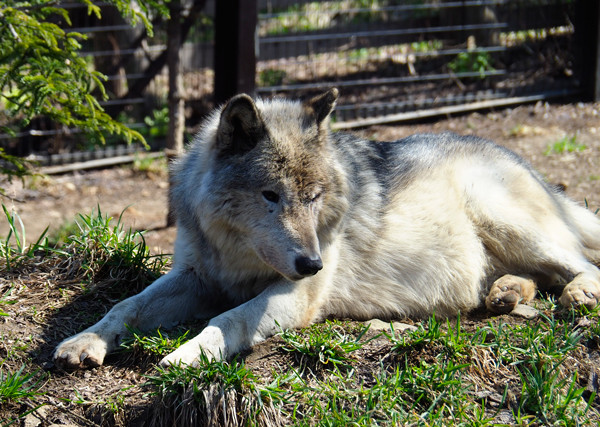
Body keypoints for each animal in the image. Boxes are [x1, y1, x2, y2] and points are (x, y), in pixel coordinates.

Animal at [54, 88, 600, 370]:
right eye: (271, 196)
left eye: (314, 197)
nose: (312, 263)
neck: (238, 254)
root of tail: (521, 160)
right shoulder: (196, 277)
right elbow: (126, 305)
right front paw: (84, 342)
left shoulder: (296, 295)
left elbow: (228, 320)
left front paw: (186, 354)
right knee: (535, 278)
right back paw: (507, 293)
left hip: (508, 223)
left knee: (582, 263)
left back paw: (578, 293)